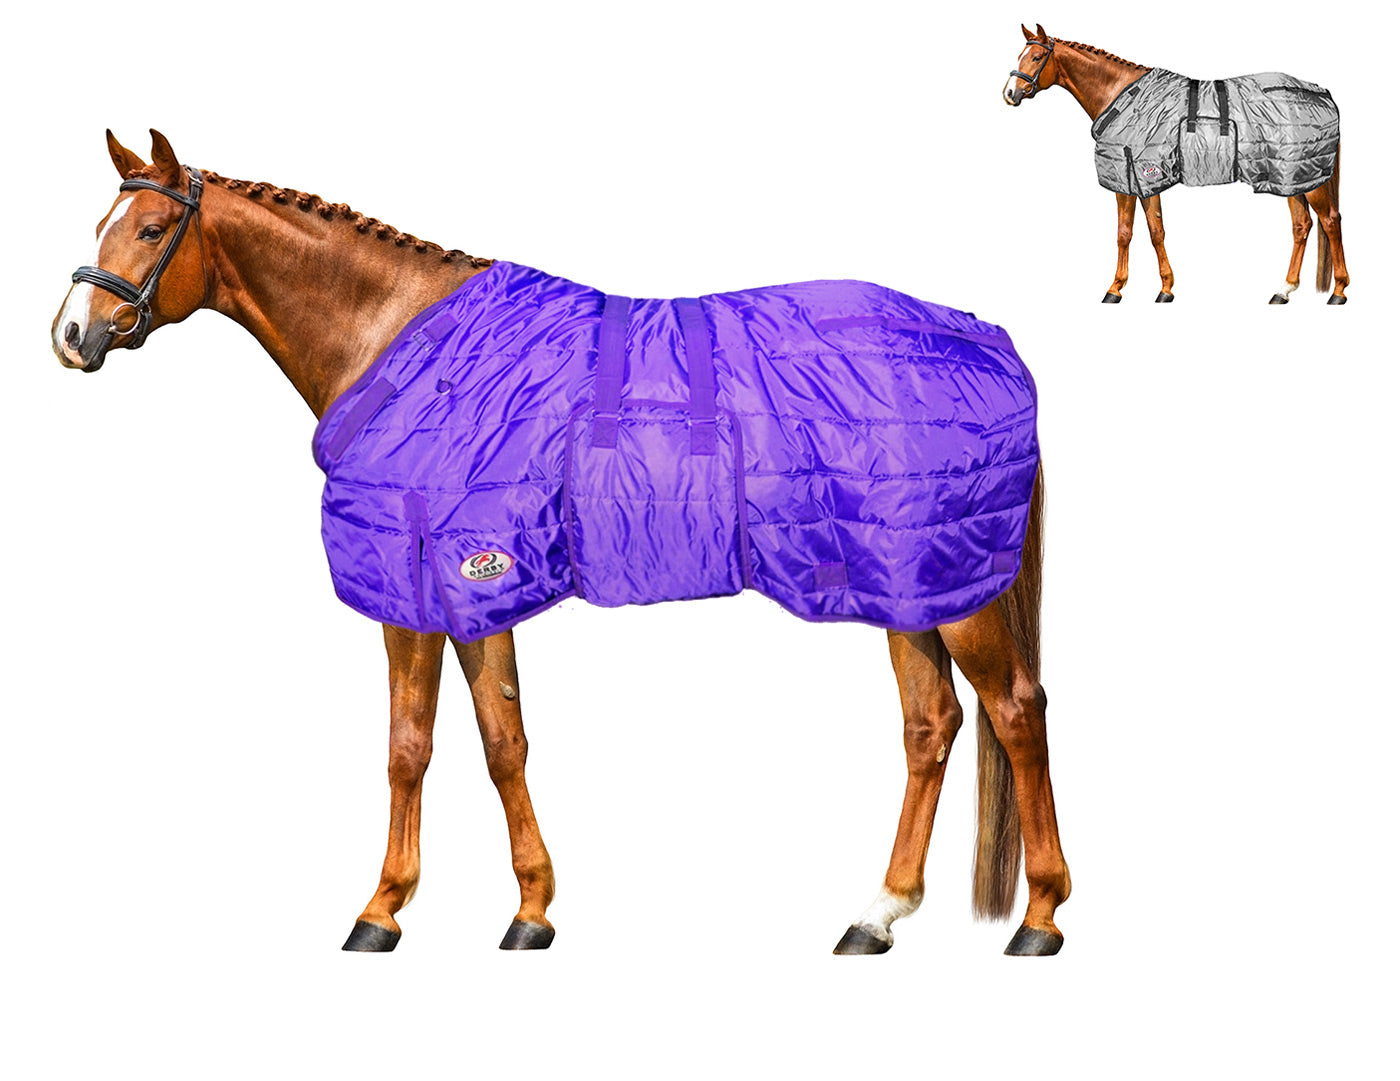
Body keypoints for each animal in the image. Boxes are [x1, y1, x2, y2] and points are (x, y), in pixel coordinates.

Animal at [50, 130, 1071, 957]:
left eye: (149, 229)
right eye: (101, 221)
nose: (70, 335)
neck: (400, 346)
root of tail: (992, 342)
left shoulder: (435, 585)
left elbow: (431, 745)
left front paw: (398, 910)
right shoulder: (461, 590)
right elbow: (477, 738)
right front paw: (514, 906)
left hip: (958, 590)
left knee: (1016, 712)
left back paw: (1039, 917)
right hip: (906, 582)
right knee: (931, 726)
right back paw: (876, 914)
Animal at [1004, 24, 1348, 305]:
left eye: (1036, 57)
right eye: (1021, 55)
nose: (1009, 93)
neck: (1122, 97)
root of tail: (1323, 94)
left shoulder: (1137, 176)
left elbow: (1137, 232)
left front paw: (1129, 289)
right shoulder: (1138, 178)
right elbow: (1143, 230)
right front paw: (1152, 288)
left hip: (1307, 179)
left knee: (1330, 221)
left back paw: (1339, 292)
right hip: (1290, 177)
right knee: (1302, 226)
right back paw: (1283, 290)